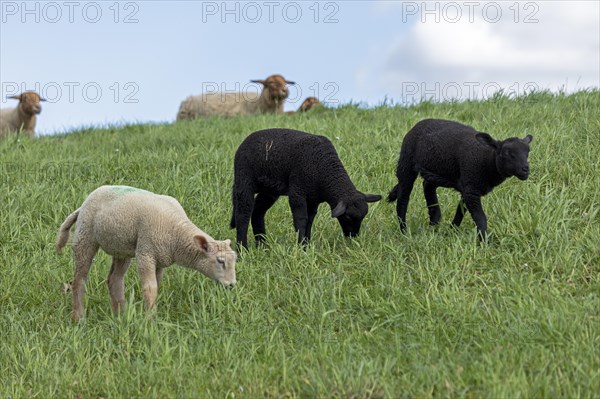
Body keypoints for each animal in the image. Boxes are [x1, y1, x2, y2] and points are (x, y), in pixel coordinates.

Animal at [54, 187, 237, 322]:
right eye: (220, 261)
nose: (232, 285)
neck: (177, 231)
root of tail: (83, 204)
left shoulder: (160, 259)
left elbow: (156, 285)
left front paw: (149, 314)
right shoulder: (146, 252)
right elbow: (150, 288)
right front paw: (151, 321)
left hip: (121, 248)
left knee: (114, 279)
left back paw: (120, 315)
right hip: (85, 237)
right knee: (79, 280)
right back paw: (79, 318)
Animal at [230, 128, 380, 248]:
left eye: (363, 216)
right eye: (347, 217)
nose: (353, 236)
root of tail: (244, 142)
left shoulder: (313, 198)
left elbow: (310, 220)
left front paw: (306, 245)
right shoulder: (297, 192)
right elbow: (301, 220)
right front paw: (301, 247)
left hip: (269, 190)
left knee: (257, 212)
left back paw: (262, 246)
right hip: (244, 180)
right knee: (243, 214)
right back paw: (243, 249)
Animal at [390, 118, 536, 238]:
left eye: (527, 152)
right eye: (506, 153)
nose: (525, 169)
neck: (487, 160)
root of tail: (415, 126)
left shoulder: (468, 188)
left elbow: (460, 211)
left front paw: (451, 231)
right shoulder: (471, 188)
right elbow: (480, 219)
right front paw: (484, 243)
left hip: (435, 171)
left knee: (427, 186)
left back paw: (434, 224)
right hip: (406, 162)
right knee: (403, 198)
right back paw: (404, 231)